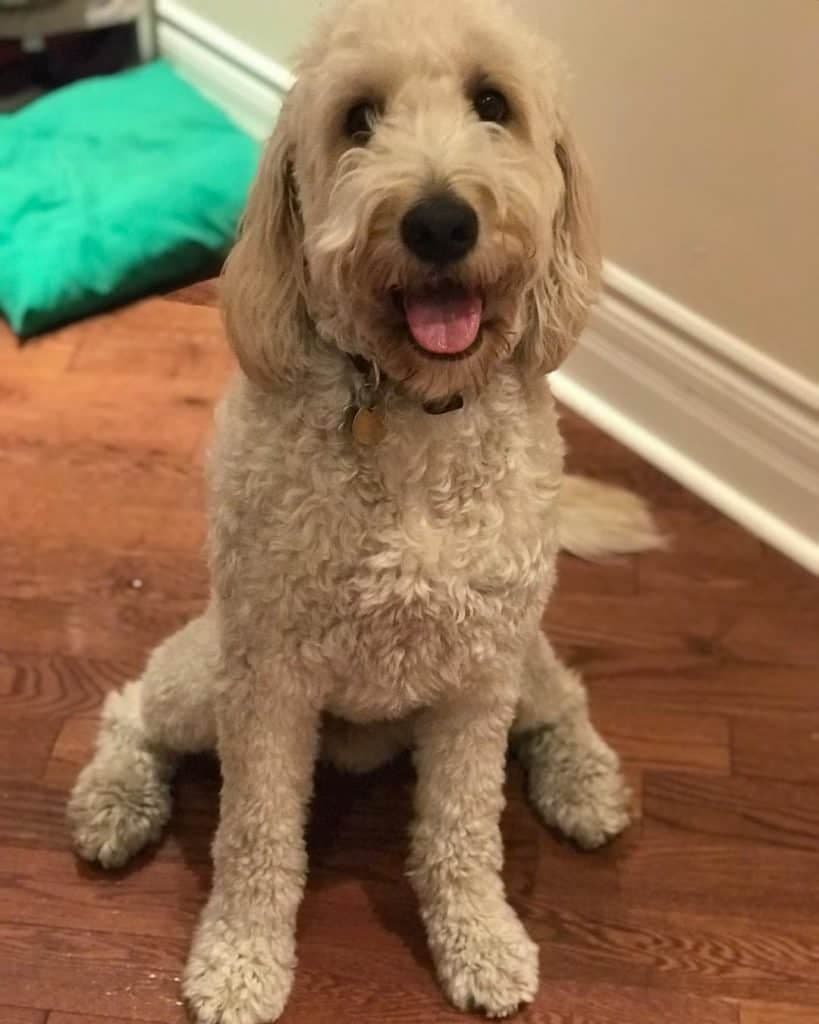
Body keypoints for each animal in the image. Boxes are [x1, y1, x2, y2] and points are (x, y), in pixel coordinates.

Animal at [68, 4, 659, 1019]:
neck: (414, 407)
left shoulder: (478, 681)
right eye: (357, 120)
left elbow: (463, 831)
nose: (439, 221)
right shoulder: (265, 679)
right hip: (203, 678)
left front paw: (481, 939)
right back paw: (115, 800)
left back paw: (584, 786)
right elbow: (256, 837)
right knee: (131, 705)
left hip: (521, 663)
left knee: (565, 698)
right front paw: (240, 959)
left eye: (492, 104)